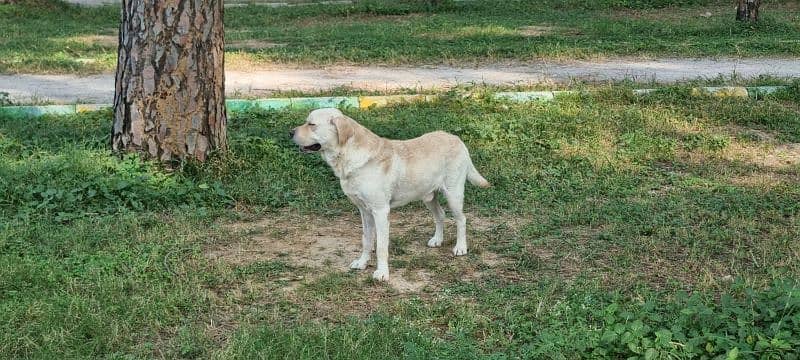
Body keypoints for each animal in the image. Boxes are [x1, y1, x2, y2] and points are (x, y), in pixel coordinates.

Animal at [288, 107, 488, 282]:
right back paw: (437, 240)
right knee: (440, 215)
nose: (290, 132)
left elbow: (381, 246)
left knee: (461, 219)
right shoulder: (364, 212)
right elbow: (367, 240)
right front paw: (362, 263)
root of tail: (456, 138)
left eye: (311, 124)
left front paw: (382, 273)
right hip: (429, 196)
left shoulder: (380, 212)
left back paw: (460, 247)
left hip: (454, 195)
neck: (349, 156)